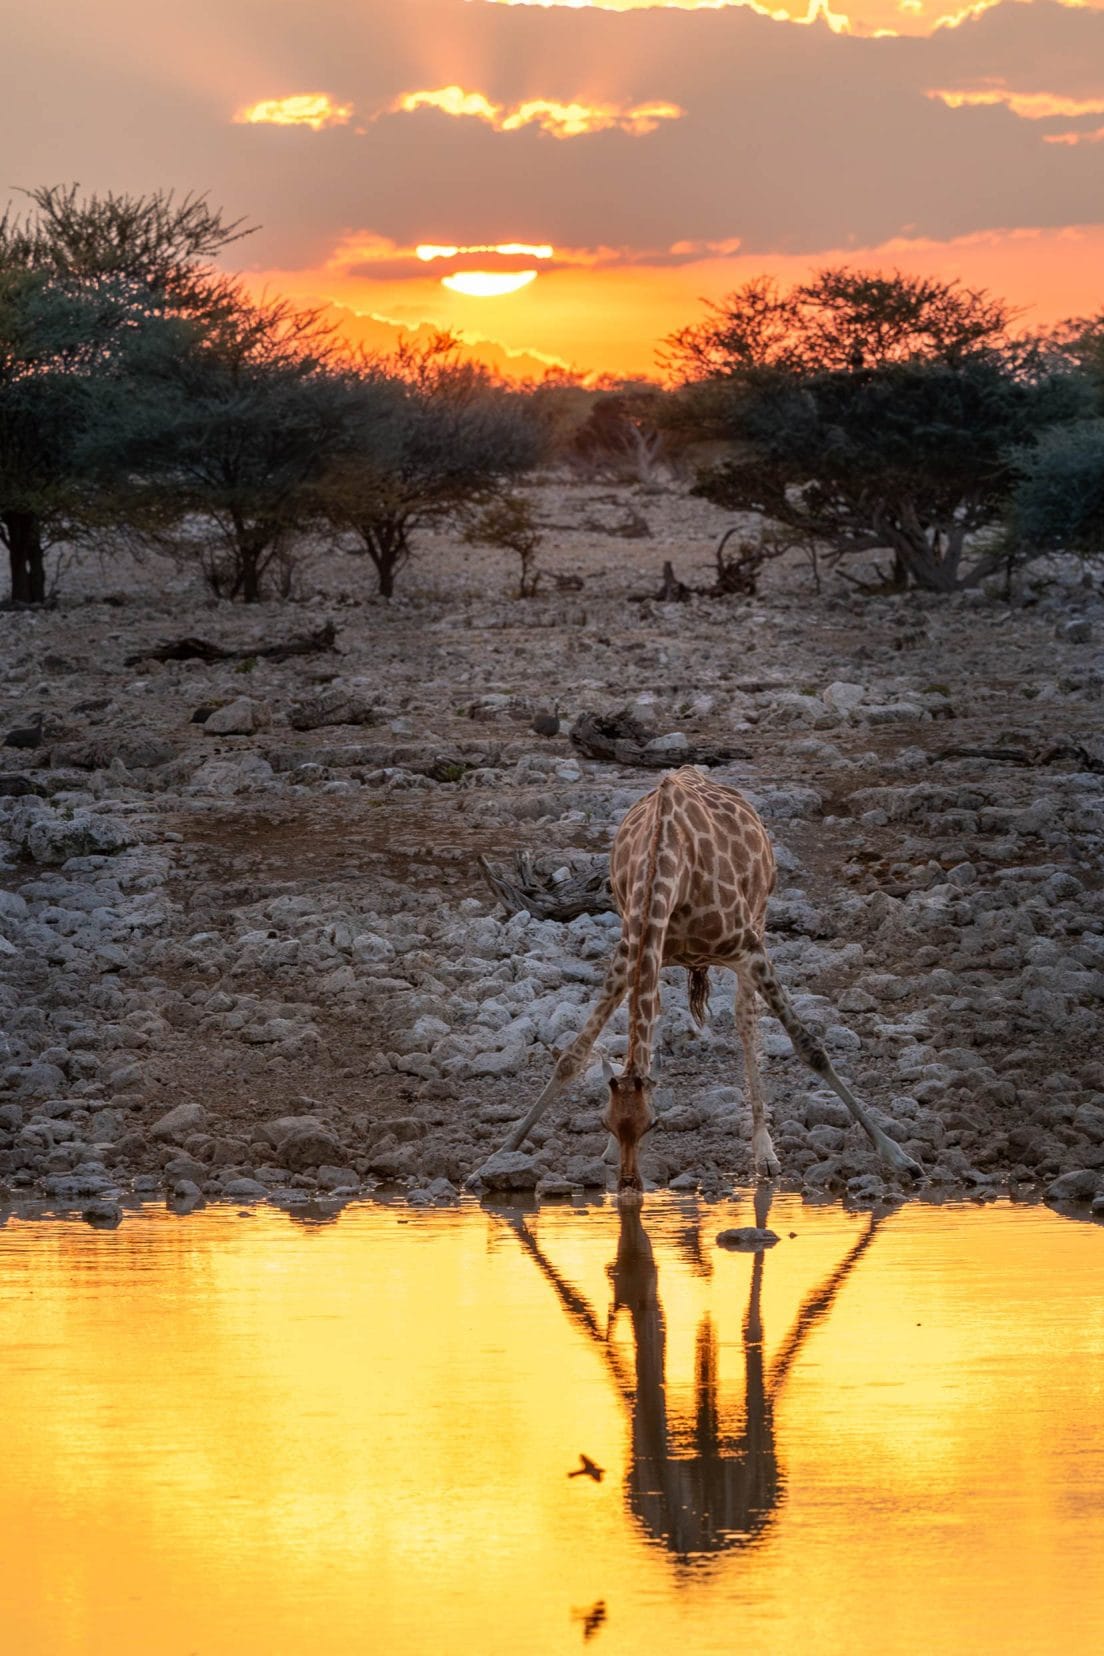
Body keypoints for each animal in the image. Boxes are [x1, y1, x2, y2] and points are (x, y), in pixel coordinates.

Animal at [496, 761, 920, 1192]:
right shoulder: (628, 952)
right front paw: (500, 1154)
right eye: (605, 1122)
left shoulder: (748, 949)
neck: (669, 867)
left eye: (654, 1125)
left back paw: (765, 1153)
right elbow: (572, 1056)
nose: (629, 1185)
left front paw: (899, 1156)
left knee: (746, 1020)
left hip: (759, 918)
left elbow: (809, 1046)